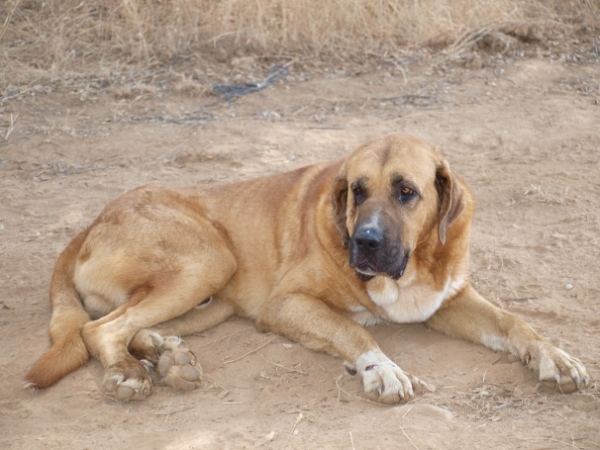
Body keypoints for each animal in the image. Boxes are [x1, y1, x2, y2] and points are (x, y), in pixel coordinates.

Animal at [25, 134, 588, 404]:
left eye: (407, 191)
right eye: (357, 190)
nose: (364, 242)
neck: (407, 270)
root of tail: (93, 220)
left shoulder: (446, 301)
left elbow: (515, 323)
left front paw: (555, 357)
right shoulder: (286, 304)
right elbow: (354, 331)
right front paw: (382, 369)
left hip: (211, 298)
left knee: (130, 325)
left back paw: (168, 356)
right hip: (208, 261)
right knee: (100, 329)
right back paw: (129, 371)